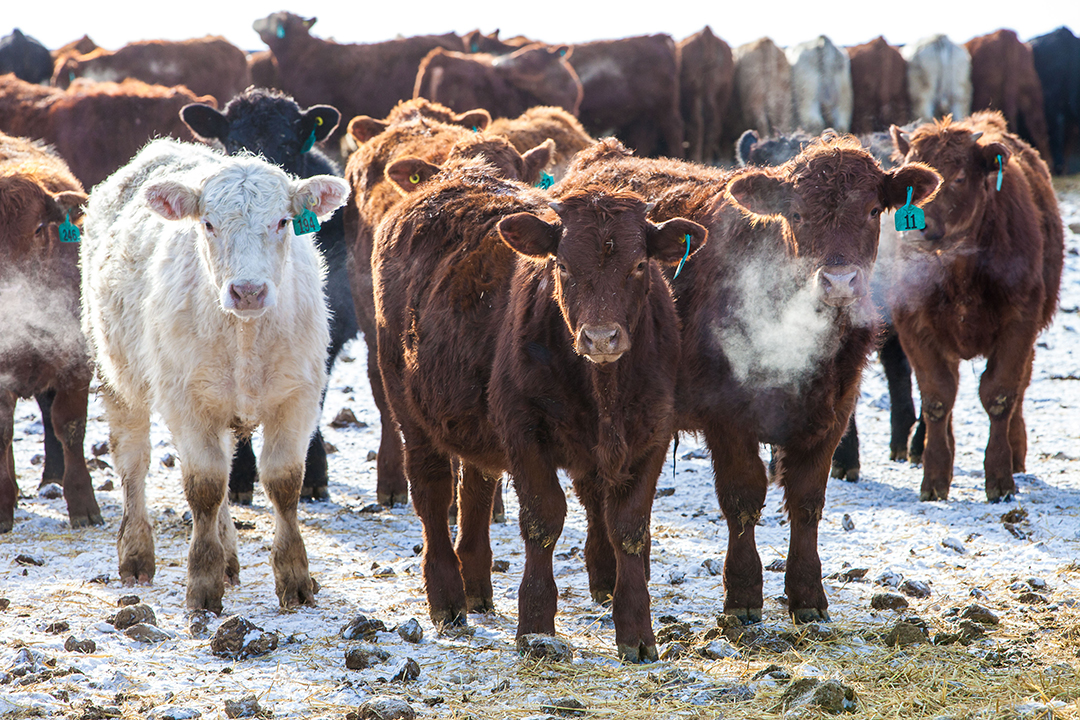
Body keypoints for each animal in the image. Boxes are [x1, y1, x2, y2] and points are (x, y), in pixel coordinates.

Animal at [81, 138, 349, 611]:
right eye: (208, 224)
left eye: (282, 221)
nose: (248, 291)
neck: (245, 336)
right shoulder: (187, 402)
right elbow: (204, 486)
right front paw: (203, 583)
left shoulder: (298, 397)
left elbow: (283, 483)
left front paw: (295, 578)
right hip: (117, 378)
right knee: (133, 462)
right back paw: (137, 555)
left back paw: (229, 557)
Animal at [374, 149, 706, 661]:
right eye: (562, 265)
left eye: (639, 265)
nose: (601, 337)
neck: (604, 390)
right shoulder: (524, 431)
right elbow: (543, 520)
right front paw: (535, 627)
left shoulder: (652, 431)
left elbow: (629, 528)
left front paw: (636, 633)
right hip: (409, 410)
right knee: (432, 494)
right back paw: (448, 600)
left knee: (476, 488)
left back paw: (476, 587)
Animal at [560, 136, 940, 623]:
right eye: (797, 214)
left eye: (874, 210)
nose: (839, 282)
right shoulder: (726, 415)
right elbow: (742, 498)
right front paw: (742, 595)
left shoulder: (833, 414)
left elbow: (807, 500)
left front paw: (808, 595)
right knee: (593, 491)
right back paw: (607, 578)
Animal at [678, 26, 735, 165]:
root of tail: (706, 33)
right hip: (721, 94)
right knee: (714, 124)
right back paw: (707, 159)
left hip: (694, 93)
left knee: (696, 123)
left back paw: (696, 159)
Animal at [888, 111, 1064, 502]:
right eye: (910, 181)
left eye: (958, 177)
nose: (916, 226)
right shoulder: (915, 325)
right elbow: (937, 397)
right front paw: (934, 477)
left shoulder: (1020, 323)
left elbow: (1000, 395)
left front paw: (1000, 478)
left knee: (1019, 391)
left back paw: (1016, 454)